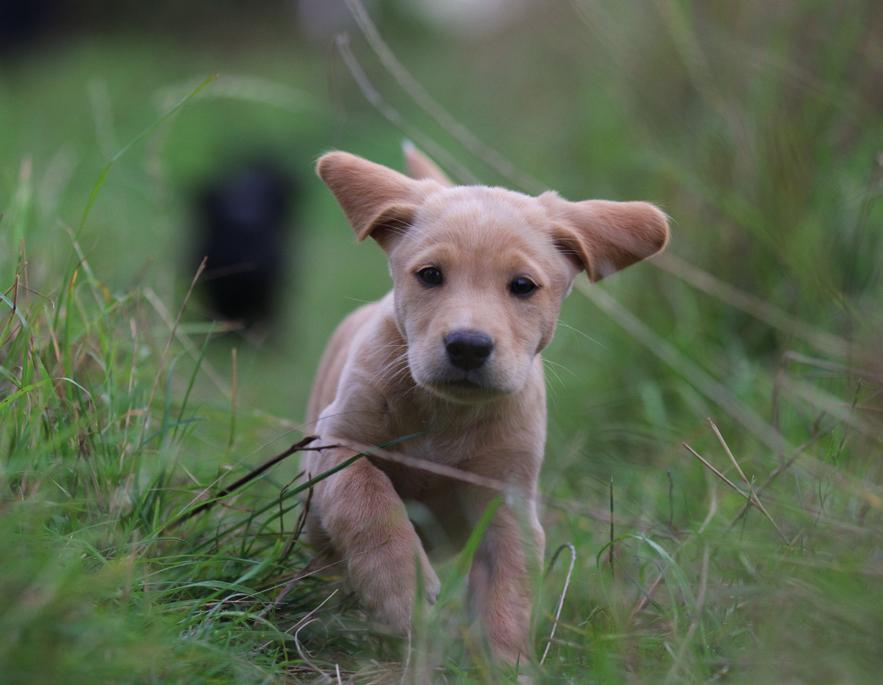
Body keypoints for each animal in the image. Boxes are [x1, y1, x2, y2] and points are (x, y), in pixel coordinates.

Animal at [304, 146, 668, 664]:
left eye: (523, 285)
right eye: (430, 275)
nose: (468, 346)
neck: (445, 413)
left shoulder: (508, 503)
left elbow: (508, 593)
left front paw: (505, 664)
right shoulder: (334, 443)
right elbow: (367, 496)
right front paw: (401, 590)